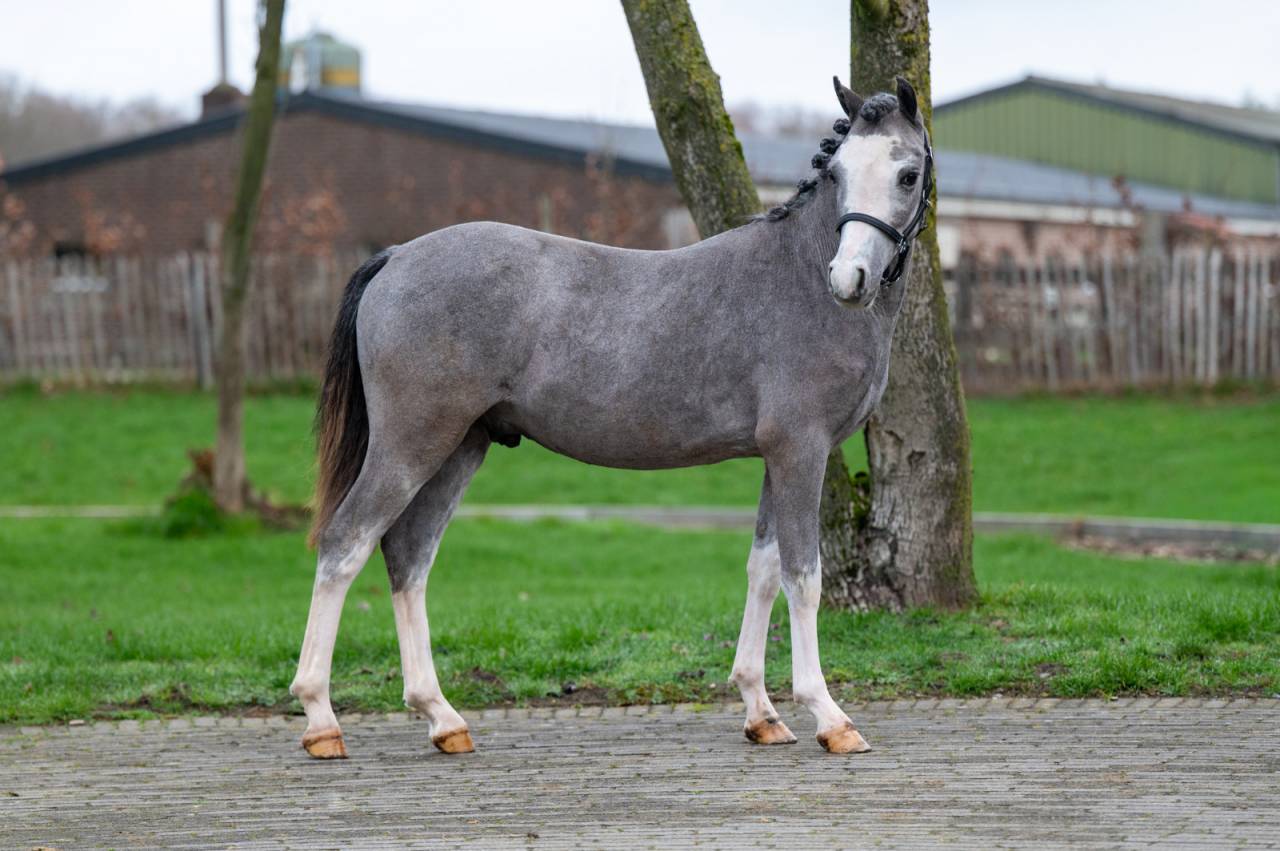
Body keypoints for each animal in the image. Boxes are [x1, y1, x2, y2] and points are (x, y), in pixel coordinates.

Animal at [289, 76, 935, 759]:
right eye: (838, 173)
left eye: (906, 173)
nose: (850, 278)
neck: (800, 279)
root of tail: (396, 257)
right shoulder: (801, 450)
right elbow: (802, 577)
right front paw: (829, 717)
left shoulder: (774, 457)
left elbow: (761, 571)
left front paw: (762, 713)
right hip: (411, 444)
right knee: (346, 542)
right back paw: (321, 719)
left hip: (460, 447)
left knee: (408, 557)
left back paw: (442, 717)